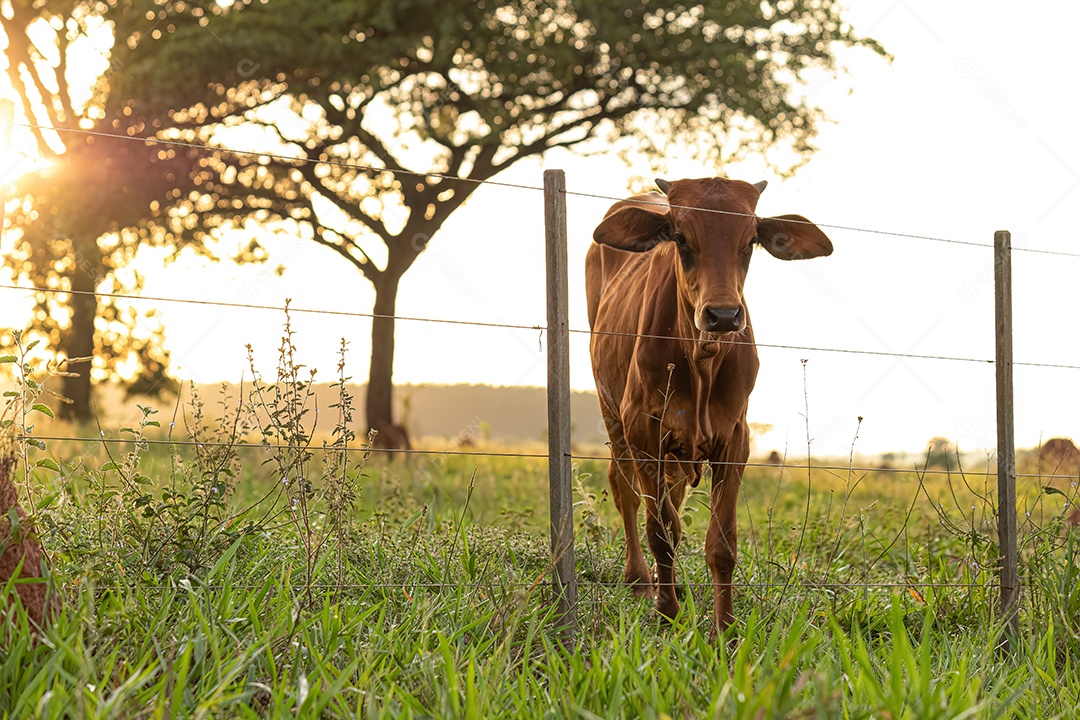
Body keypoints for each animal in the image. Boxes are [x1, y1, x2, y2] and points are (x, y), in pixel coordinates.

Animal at [586, 176, 833, 634]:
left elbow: (721, 543)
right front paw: (666, 612)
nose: (722, 315)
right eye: (681, 238)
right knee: (625, 489)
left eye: (750, 241)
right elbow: (661, 530)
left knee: (672, 494)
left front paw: (724, 628)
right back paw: (641, 580)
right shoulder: (642, 430)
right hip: (611, 411)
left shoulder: (735, 439)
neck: (701, 358)